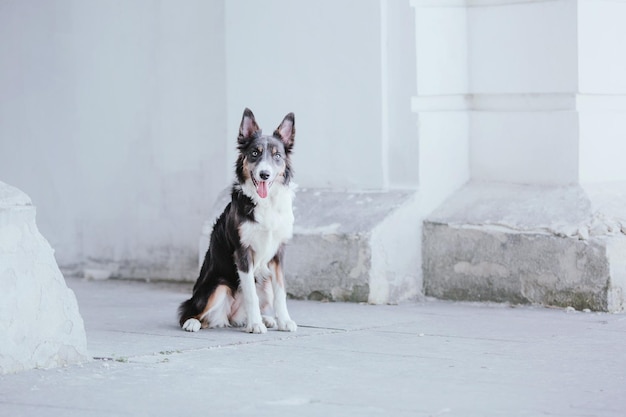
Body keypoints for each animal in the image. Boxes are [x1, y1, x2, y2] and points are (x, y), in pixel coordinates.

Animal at [178, 109, 298, 334]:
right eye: (255, 153)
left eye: (277, 155)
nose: (264, 174)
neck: (265, 202)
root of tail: (229, 316)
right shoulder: (243, 252)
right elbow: (250, 293)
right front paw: (256, 325)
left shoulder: (278, 253)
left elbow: (281, 292)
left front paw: (284, 321)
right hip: (218, 287)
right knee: (192, 313)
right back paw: (192, 322)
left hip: (264, 283)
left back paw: (267, 319)